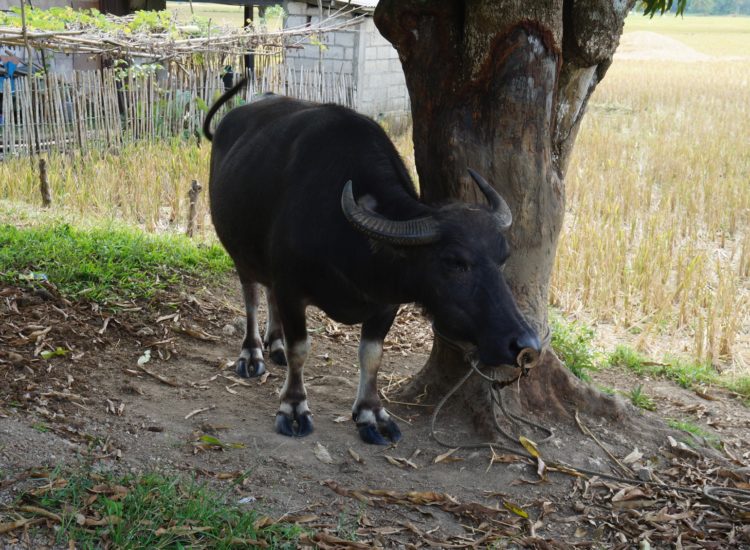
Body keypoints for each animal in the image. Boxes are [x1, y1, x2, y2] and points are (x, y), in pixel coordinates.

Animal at [206, 78, 540, 448]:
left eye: (503, 258)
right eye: (454, 262)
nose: (526, 345)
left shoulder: (386, 303)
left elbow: (372, 355)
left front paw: (371, 414)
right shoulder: (292, 289)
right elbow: (301, 350)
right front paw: (293, 407)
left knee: (267, 293)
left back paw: (274, 343)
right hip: (237, 249)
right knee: (251, 295)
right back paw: (252, 354)